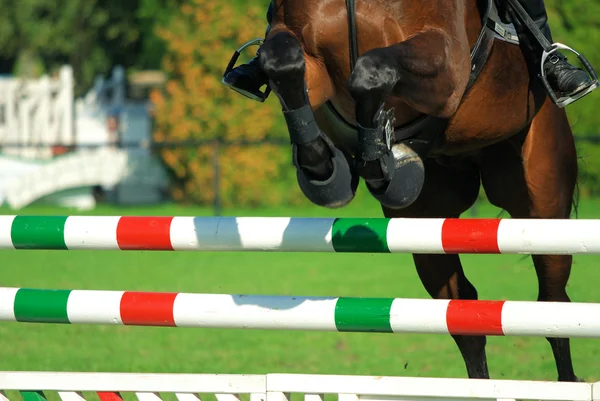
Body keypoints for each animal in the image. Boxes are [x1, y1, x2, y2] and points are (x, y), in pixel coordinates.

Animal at [255, 0, 588, 382]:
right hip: (427, 226)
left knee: (553, 306)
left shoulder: (446, 65)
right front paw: (325, 168)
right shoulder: (309, 61)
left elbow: (371, 71)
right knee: (462, 313)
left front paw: (376, 156)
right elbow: (282, 61)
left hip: (543, 207)